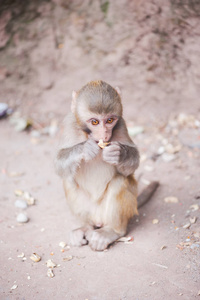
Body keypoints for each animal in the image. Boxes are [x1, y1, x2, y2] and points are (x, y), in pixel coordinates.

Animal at [55, 79, 159, 251]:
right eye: (95, 122)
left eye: (110, 120)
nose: (104, 135)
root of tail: (98, 219)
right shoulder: (69, 124)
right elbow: (59, 164)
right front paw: (86, 148)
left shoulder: (121, 124)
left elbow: (131, 167)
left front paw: (119, 154)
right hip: (90, 211)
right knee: (69, 181)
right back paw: (86, 226)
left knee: (120, 181)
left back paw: (112, 231)